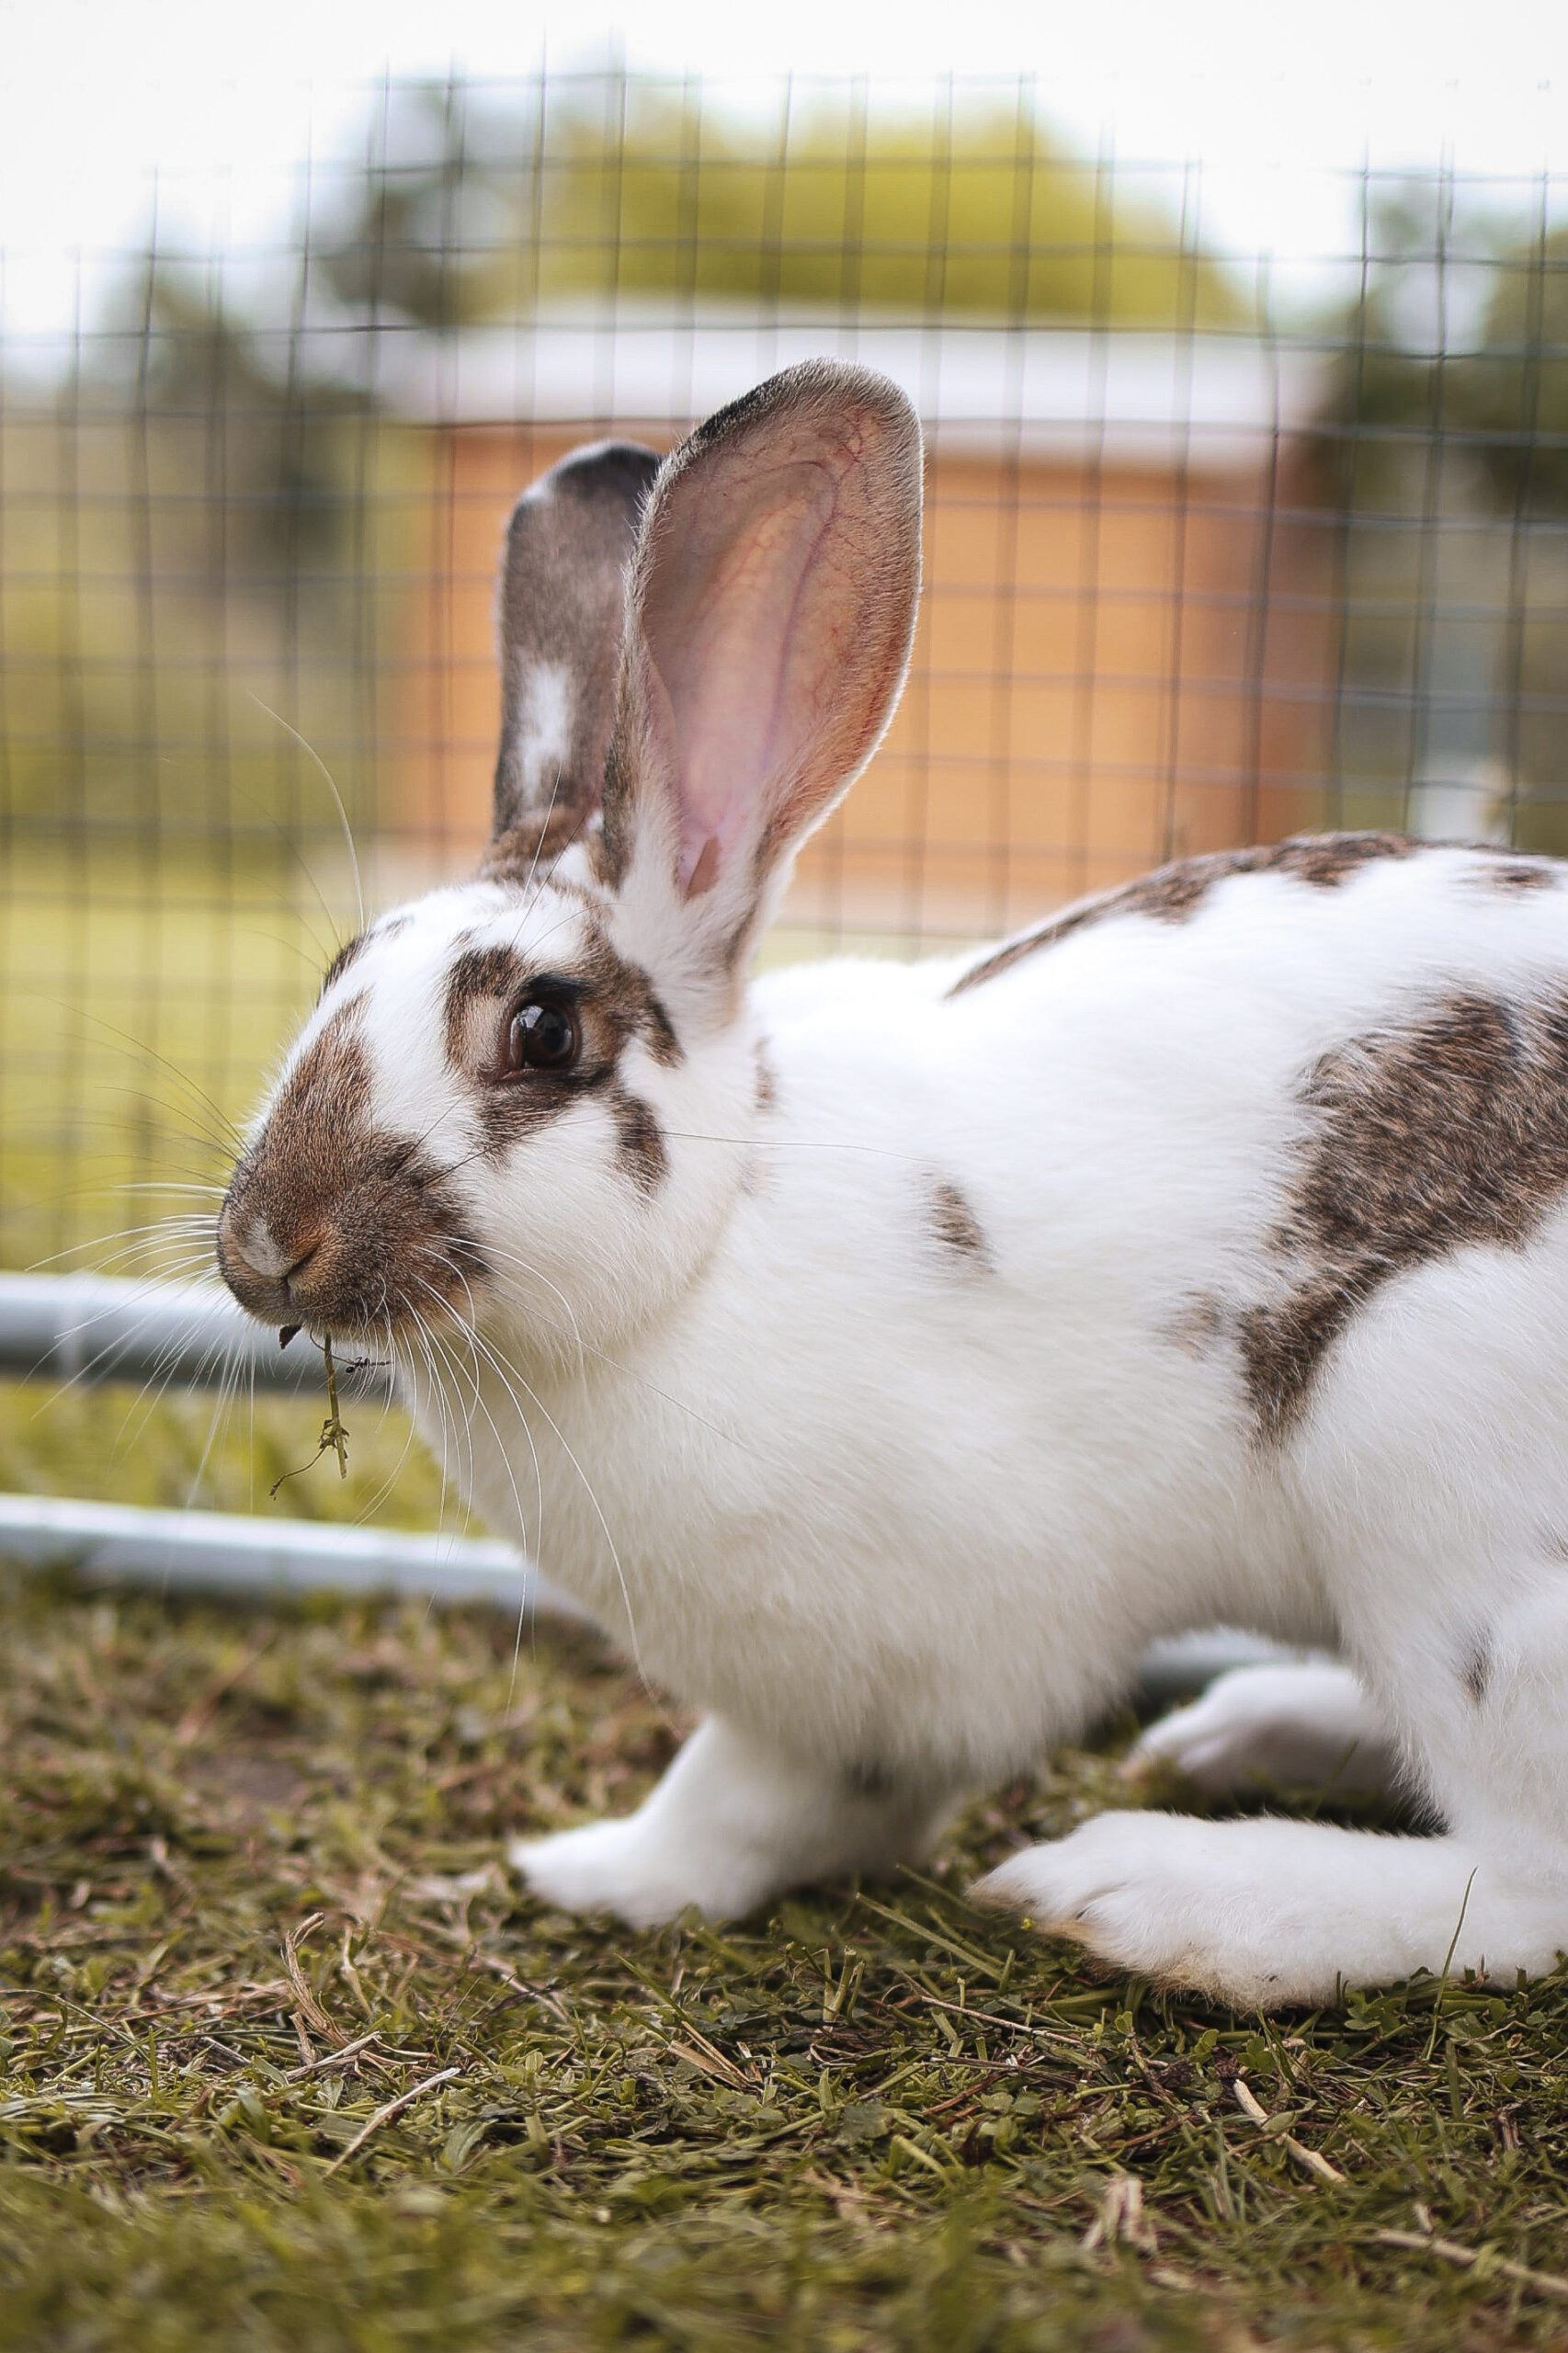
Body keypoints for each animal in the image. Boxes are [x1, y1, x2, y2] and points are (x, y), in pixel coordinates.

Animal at [216, 358, 1568, 2014]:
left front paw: (589, 1874)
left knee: (1522, 1875)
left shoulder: (870, 1680)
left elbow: (744, 1802)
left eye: (542, 1031)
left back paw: (1155, 1890)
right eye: (336, 970)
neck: (722, 1225)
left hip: (1440, 1473)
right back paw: (1242, 1732)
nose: (265, 1248)